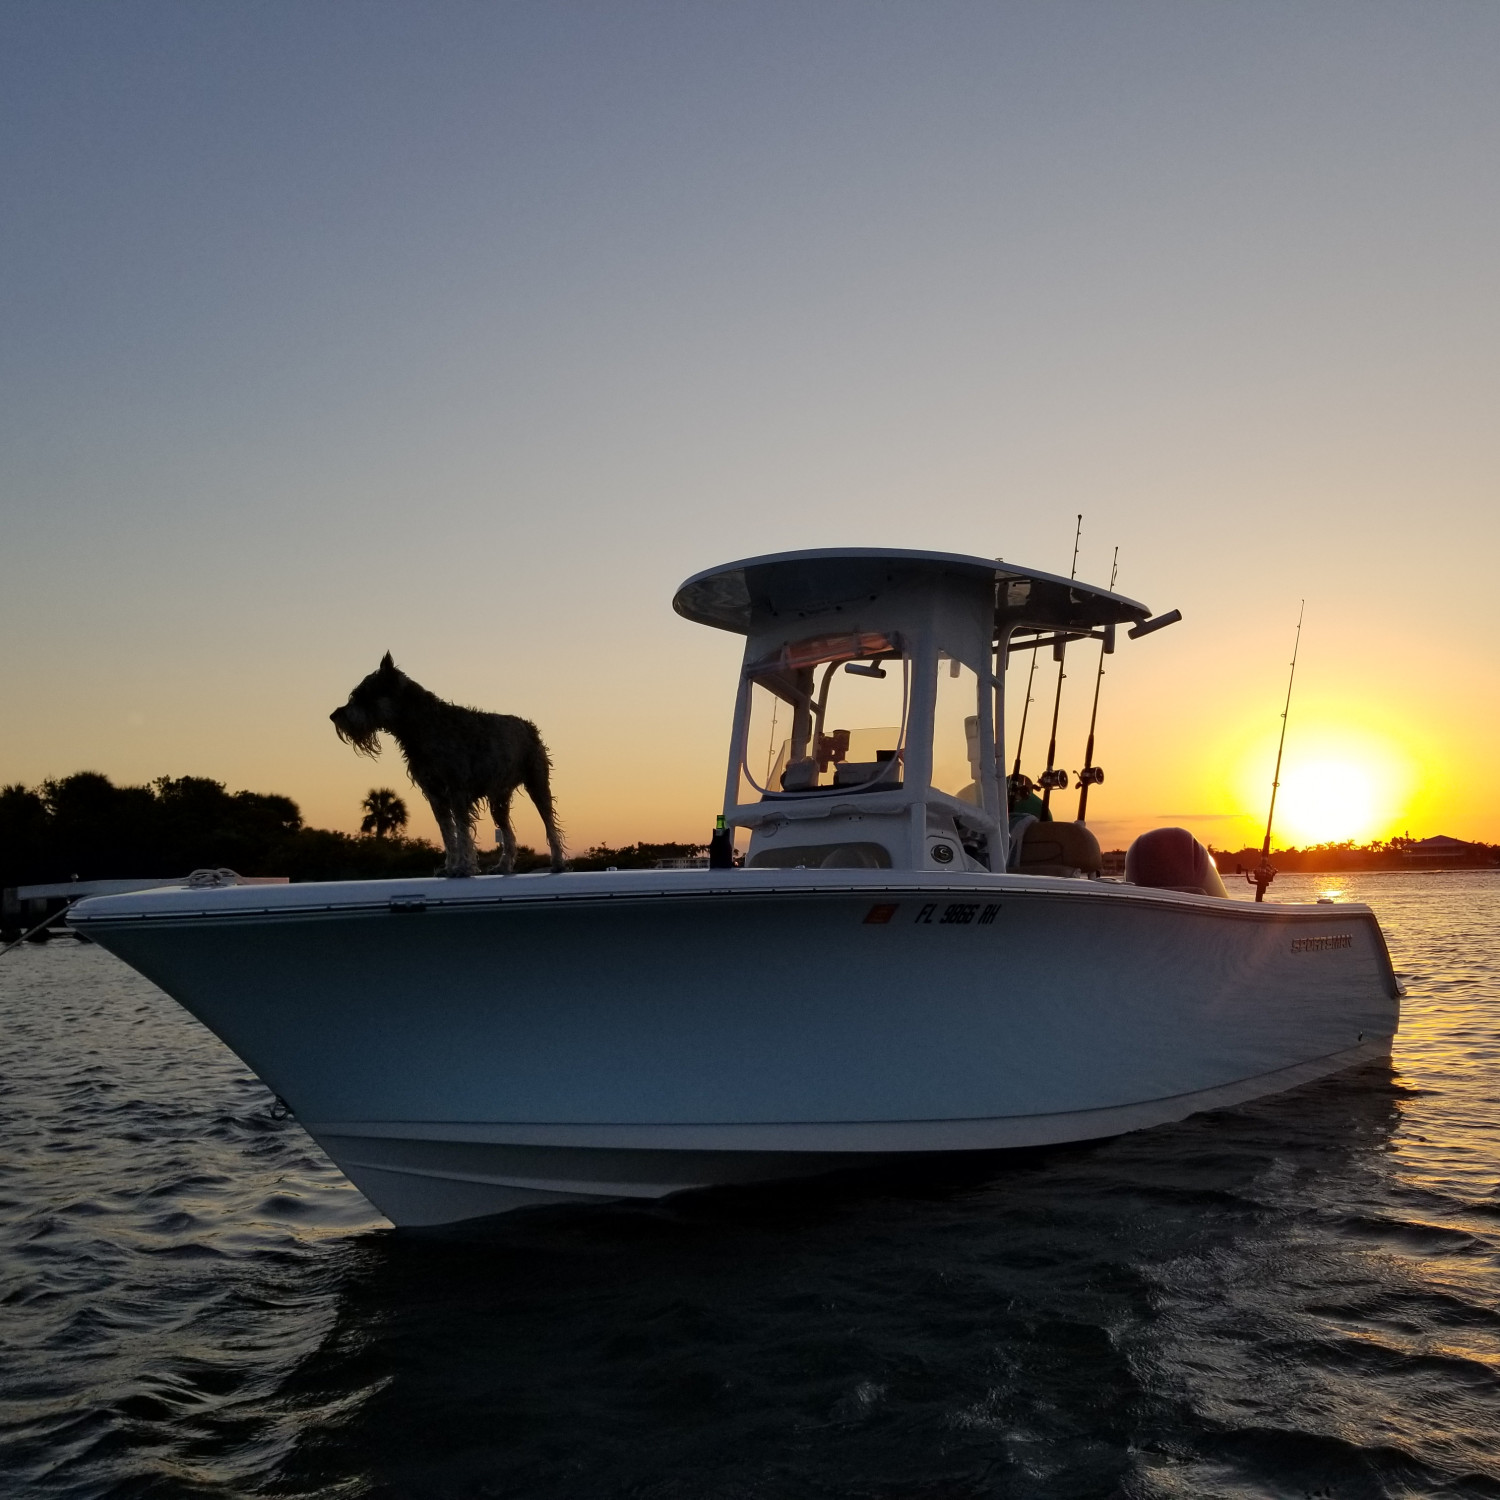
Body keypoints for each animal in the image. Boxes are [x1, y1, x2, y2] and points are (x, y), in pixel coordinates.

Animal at [331, 657, 564, 876]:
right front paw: (450, 867)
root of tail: (528, 726)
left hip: (537, 785)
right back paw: (503, 866)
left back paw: (558, 862)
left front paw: (463, 868)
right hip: (499, 799)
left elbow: (462, 832)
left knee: (550, 824)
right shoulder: (435, 796)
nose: (334, 716)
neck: (421, 725)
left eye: (361, 695)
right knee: (508, 833)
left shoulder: (457, 791)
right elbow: (448, 834)